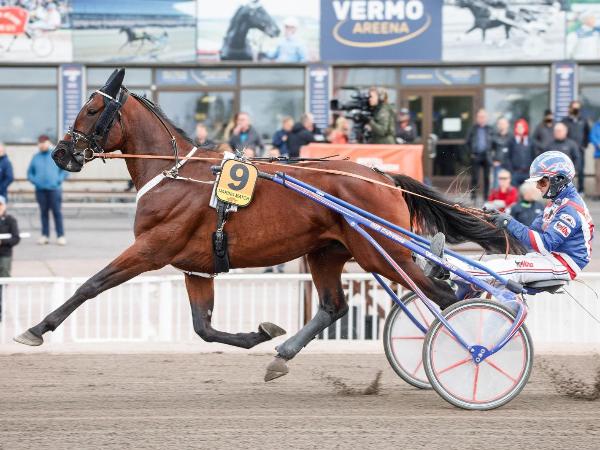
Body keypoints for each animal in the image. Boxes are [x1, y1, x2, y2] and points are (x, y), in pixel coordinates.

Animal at [14, 69, 522, 381]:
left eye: (92, 110)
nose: (60, 153)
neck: (174, 173)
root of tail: (380, 175)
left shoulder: (152, 249)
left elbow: (91, 285)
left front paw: (36, 329)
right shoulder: (196, 266)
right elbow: (203, 327)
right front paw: (262, 334)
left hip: (382, 251)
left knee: (444, 296)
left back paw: (475, 351)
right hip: (328, 251)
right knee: (335, 306)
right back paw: (284, 355)